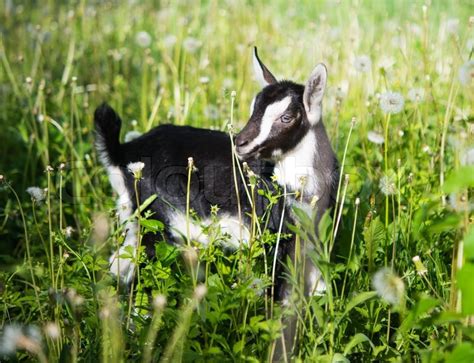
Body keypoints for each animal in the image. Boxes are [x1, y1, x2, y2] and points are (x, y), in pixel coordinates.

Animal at [94, 47, 336, 302]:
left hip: (134, 221)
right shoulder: (274, 236)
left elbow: (319, 287)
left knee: (119, 264)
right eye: (253, 110)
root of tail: (122, 152)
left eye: (286, 117)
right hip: (155, 222)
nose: (240, 142)